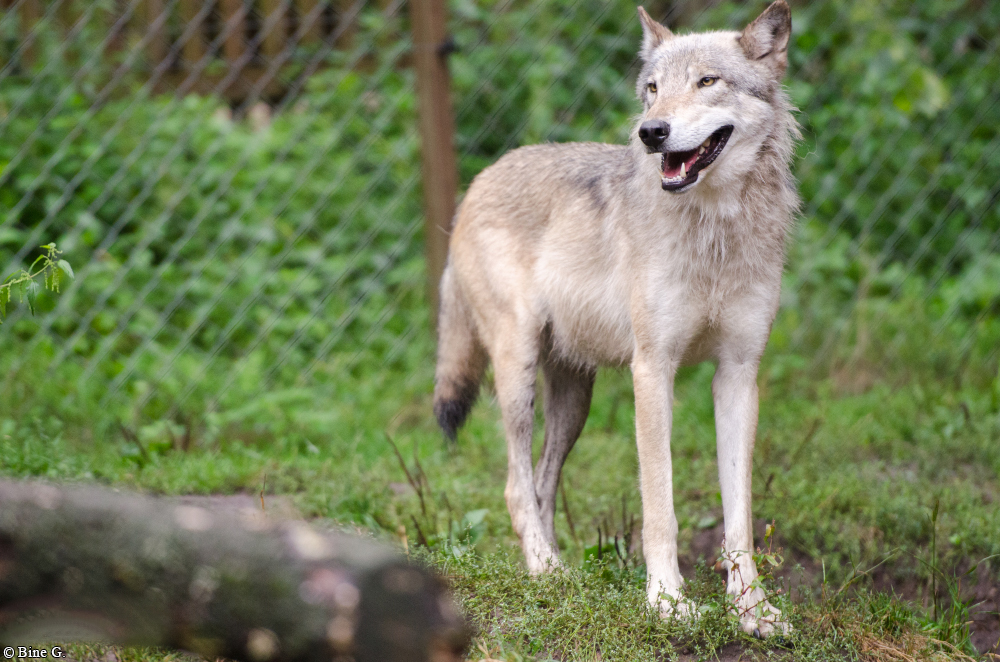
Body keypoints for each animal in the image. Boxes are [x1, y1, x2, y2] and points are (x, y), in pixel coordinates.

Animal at [433, 1, 798, 637]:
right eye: (652, 89)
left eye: (707, 81)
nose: (652, 132)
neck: (715, 232)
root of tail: (479, 181)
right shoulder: (652, 370)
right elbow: (660, 506)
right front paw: (668, 601)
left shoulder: (738, 374)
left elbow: (740, 515)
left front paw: (751, 609)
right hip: (517, 376)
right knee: (514, 487)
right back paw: (547, 571)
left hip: (574, 401)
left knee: (541, 485)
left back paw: (558, 573)